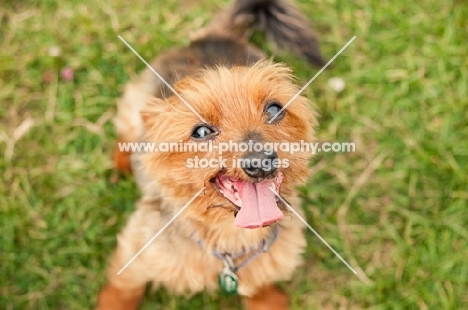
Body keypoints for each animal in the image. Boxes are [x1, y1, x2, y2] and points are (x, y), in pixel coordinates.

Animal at [98, 0, 326, 310]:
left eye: (274, 109)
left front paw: (267, 299)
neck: (231, 237)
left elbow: (261, 285)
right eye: (202, 131)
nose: (261, 162)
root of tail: (214, 36)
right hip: (136, 106)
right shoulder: (137, 249)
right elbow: (123, 288)